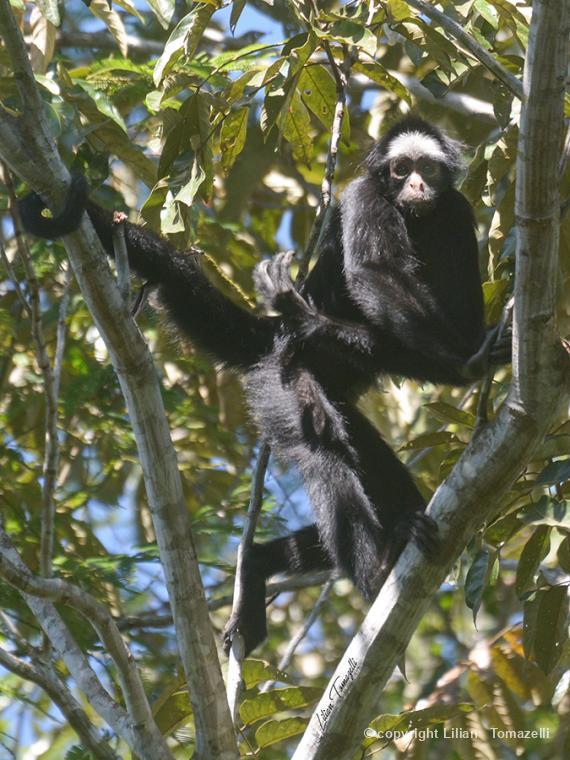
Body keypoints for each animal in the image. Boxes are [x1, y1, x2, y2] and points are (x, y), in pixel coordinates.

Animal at [17, 116, 508, 656]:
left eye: (428, 169)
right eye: (401, 169)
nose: (417, 186)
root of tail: (268, 344)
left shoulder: (456, 211)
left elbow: (463, 317)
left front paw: (471, 355)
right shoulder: (365, 195)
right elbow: (371, 276)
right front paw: (464, 363)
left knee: (363, 454)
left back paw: (278, 557)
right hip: (279, 381)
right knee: (321, 442)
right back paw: (377, 564)